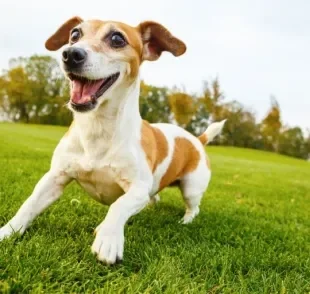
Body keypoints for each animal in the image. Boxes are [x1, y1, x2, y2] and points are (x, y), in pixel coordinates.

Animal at [0, 17, 225, 266]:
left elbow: (119, 205)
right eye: (74, 35)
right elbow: (29, 204)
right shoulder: (54, 178)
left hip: (192, 187)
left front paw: (108, 239)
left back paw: (185, 220)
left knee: (192, 207)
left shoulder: (137, 189)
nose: (70, 54)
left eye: (117, 38)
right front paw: (8, 231)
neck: (97, 128)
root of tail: (197, 139)